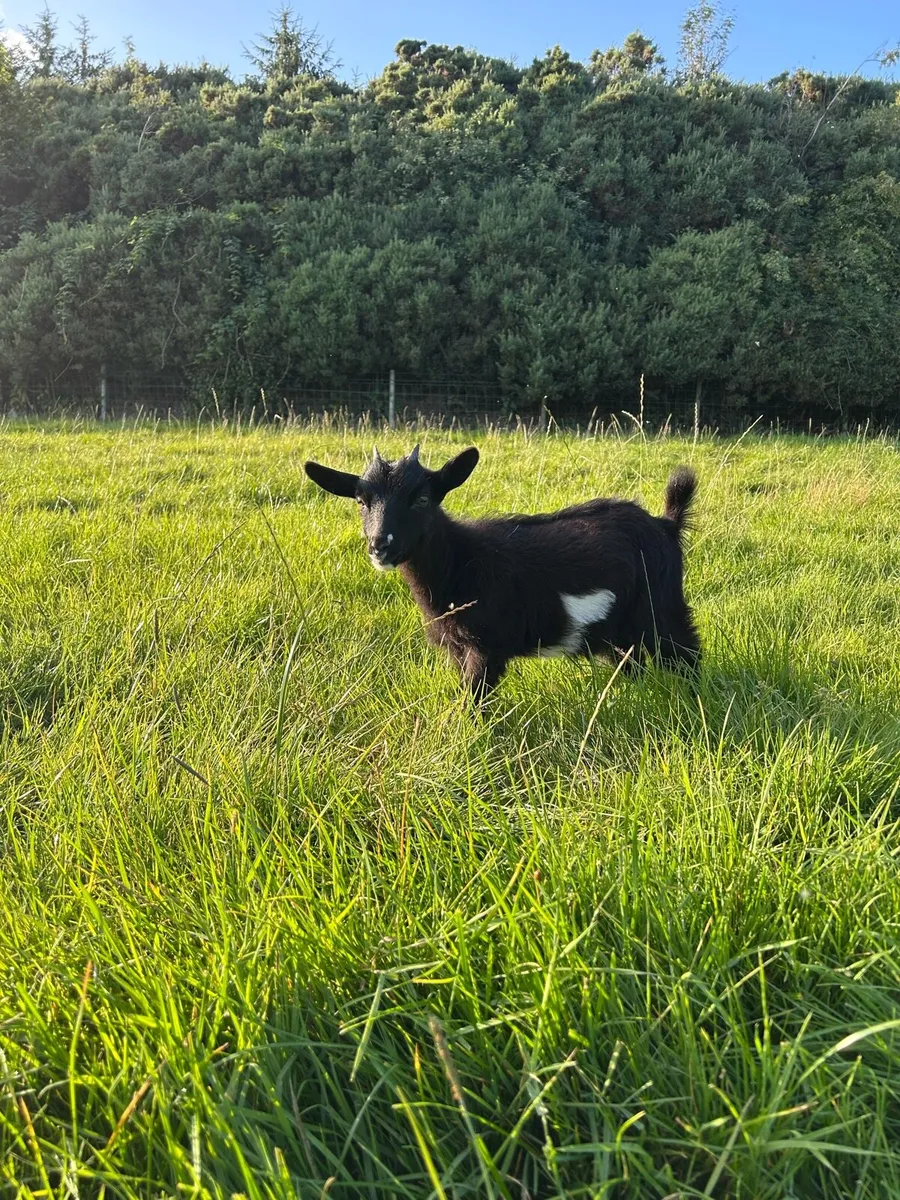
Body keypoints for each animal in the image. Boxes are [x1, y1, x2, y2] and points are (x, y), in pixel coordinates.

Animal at [304, 445, 700, 700]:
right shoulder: (457, 648)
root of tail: (666, 524)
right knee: (634, 662)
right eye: (361, 501)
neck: (460, 562)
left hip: (662, 609)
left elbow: (475, 700)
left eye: (422, 499)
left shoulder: (485, 646)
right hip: (619, 631)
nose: (379, 546)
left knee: (688, 655)